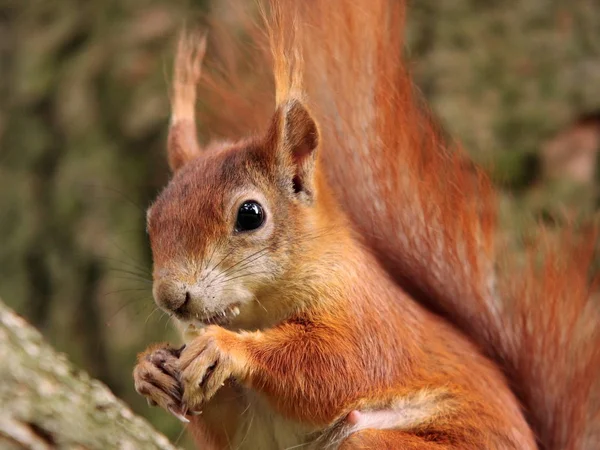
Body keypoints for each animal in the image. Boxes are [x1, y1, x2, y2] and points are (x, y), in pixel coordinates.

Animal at [132, 0, 600, 450]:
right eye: (152, 219)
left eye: (250, 214)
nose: (171, 297)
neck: (256, 313)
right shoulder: (248, 423)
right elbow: (230, 429)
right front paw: (151, 369)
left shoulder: (370, 321)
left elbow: (336, 368)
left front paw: (225, 347)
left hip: (378, 441)